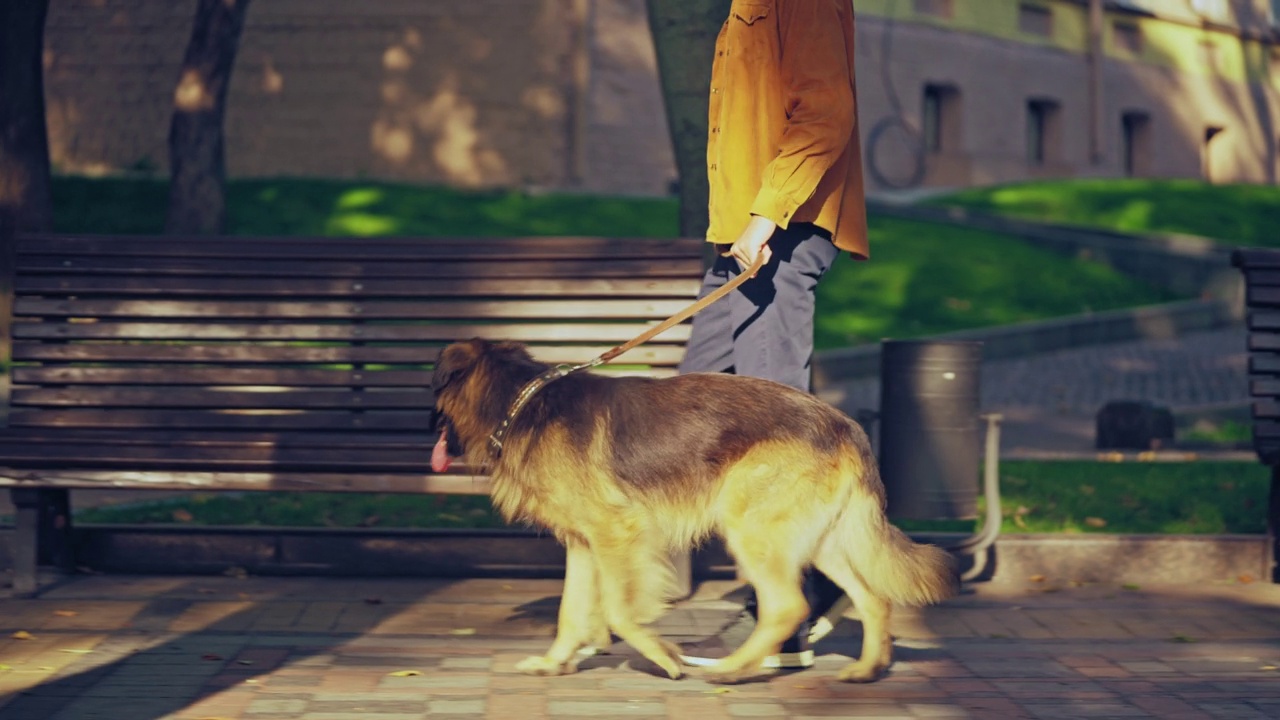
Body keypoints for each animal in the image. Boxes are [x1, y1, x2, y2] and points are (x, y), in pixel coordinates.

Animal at [432, 338, 962, 681]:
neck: (521, 403)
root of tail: (847, 424)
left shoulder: (617, 532)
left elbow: (620, 610)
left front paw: (662, 655)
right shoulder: (584, 543)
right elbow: (570, 611)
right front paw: (554, 661)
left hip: (751, 529)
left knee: (787, 606)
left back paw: (734, 668)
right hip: (820, 540)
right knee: (872, 598)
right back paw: (867, 669)